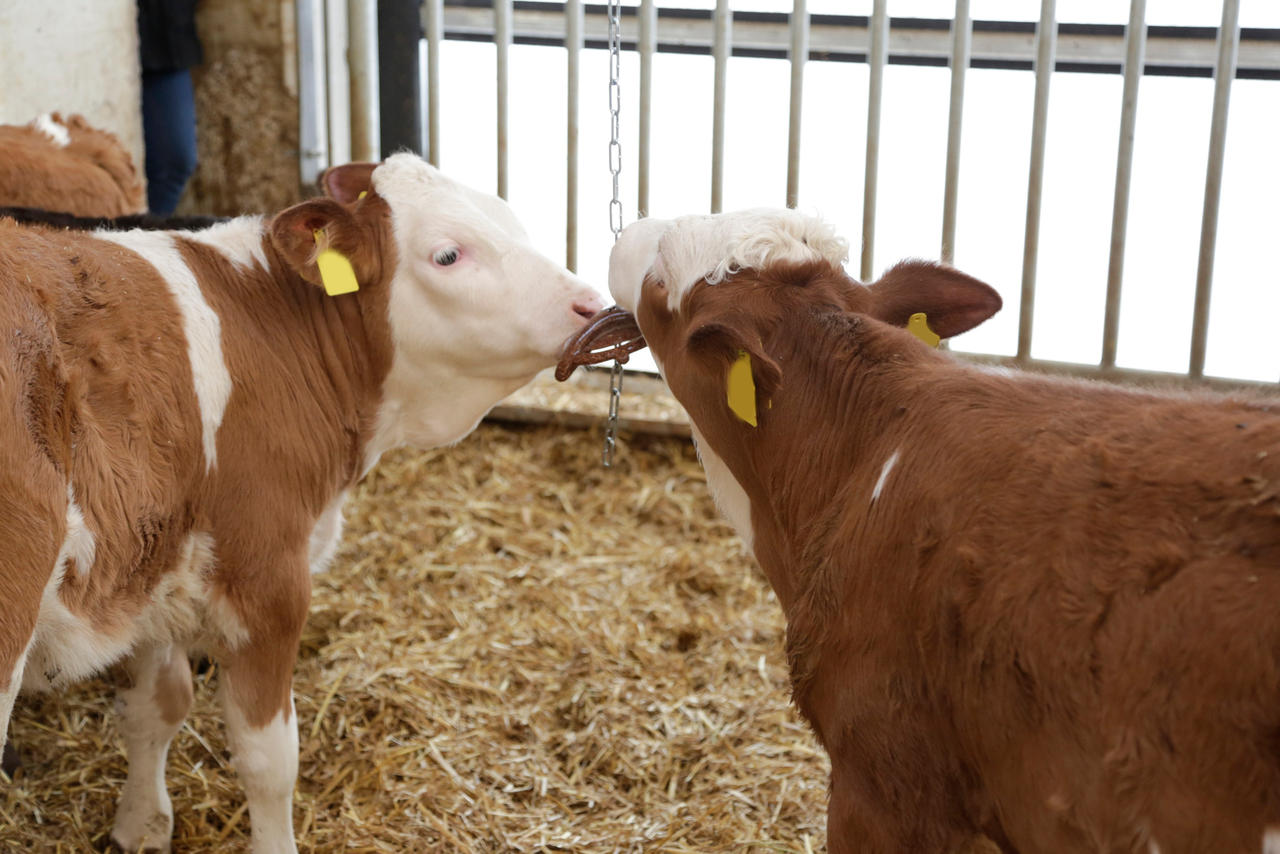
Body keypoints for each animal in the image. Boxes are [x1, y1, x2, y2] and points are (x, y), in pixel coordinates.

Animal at [0, 155, 601, 854]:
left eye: (509, 218)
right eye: (448, 254)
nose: (590, 304)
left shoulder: (155, 556)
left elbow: (156, 708)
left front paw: (142, 823)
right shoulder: (268, 580)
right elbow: (268, 762)